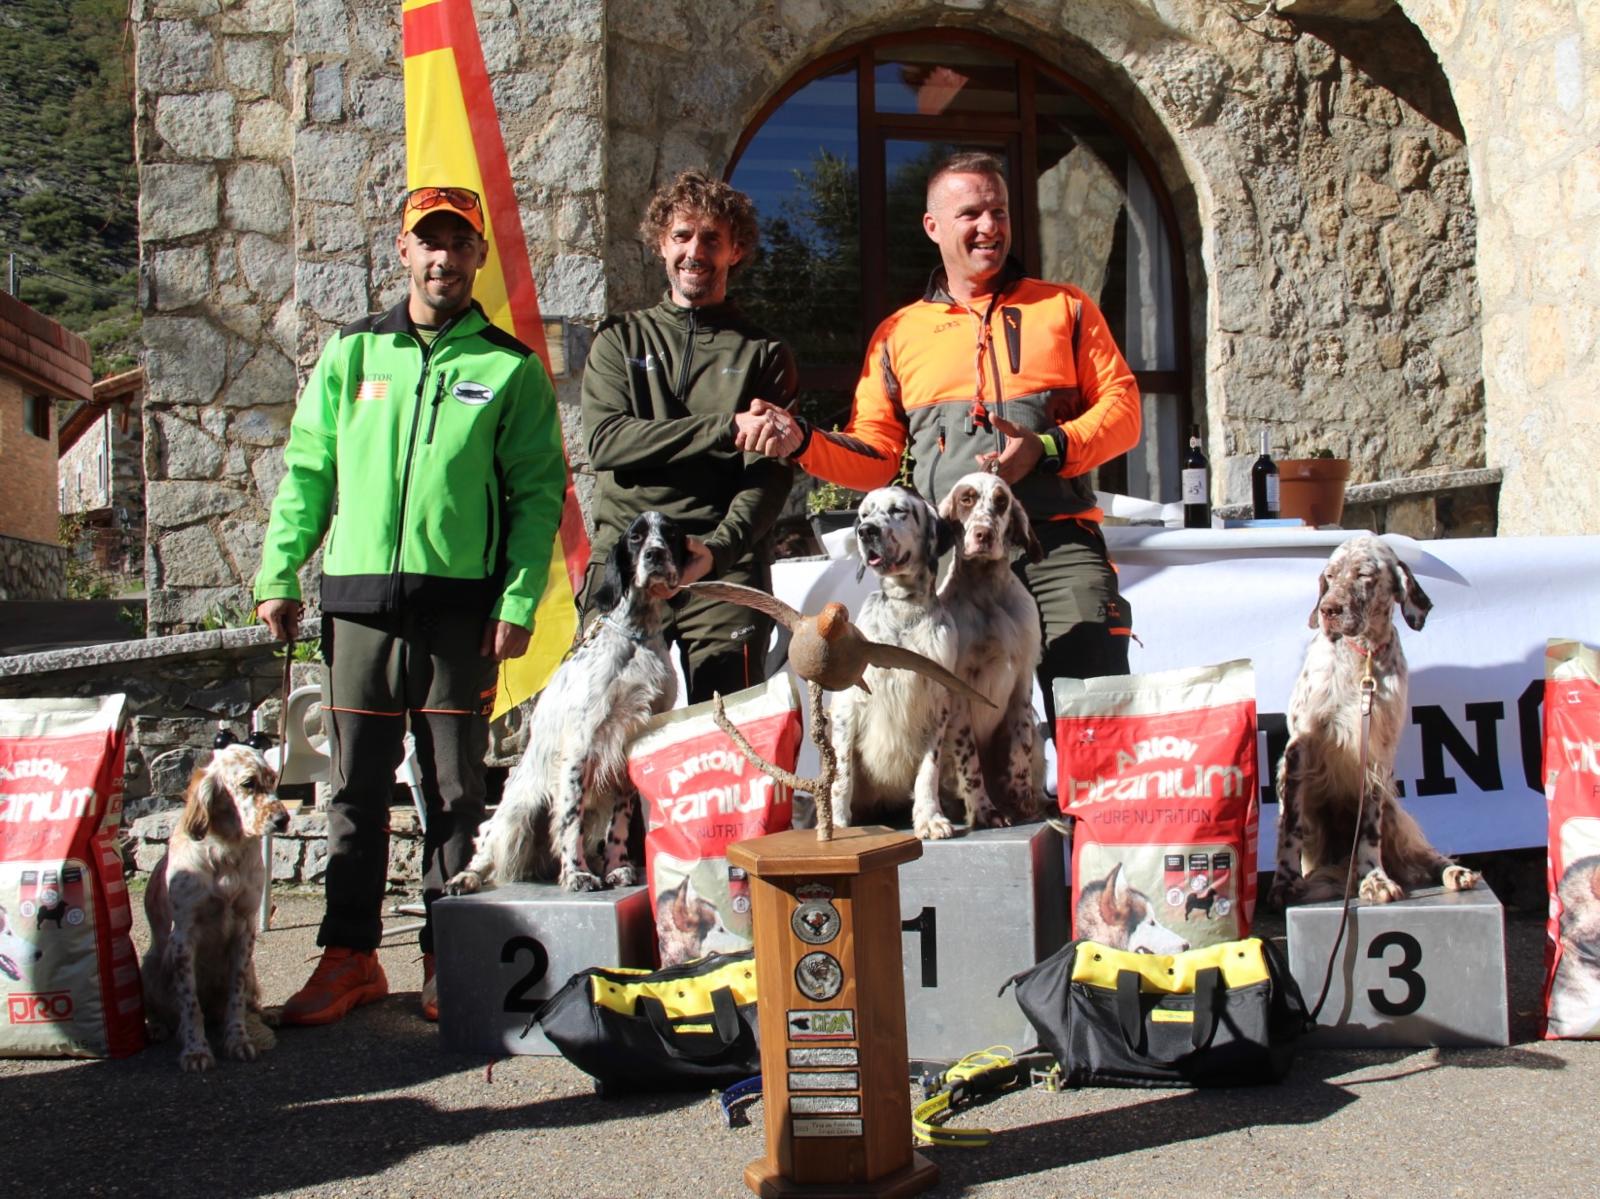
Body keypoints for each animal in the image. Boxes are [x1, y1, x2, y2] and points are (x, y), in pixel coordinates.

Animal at [142, 742, 289, 1069]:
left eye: (273, 779)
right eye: (248, 783)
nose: (283, 819)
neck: (227, 852)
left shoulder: (245, 929)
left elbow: (235, 997)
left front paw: (238, 1040)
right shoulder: (183, 937)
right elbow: (190, 1003)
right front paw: (196, 1050)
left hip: (253, 969)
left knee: (249, 1001)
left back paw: (269, 1014)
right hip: (150, 964)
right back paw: (156, 1027)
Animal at [444, 509, 688, 896]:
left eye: (671, 534)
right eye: (636, 537)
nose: (655, 555)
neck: (636, 636)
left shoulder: (629, 742)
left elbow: (619, 823)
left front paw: (618, 867)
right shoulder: (581, 746)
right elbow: (569, 822)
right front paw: (577, 874)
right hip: (518, 810)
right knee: (487, 844)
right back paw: (465, 877)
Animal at [832, 480, 992, 838]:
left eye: (898, 510)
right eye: (864, 514)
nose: (866, 531)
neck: (904, 610)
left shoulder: (937, 705)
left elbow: (927, 771)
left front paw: (930, 818)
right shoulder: (850, 704)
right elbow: (841, 777)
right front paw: (837, 826)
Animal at [934, 470, 1049, 826]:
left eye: (1001, 501)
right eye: (966, 499)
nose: (983, 534)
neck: (986, 595)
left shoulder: (1022, 678)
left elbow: (1020, 744)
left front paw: (1023, 801)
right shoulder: (958, 689)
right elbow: (968, 760)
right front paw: (984, 811)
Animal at [1267, 537, 1478, 902]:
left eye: (1364, 574)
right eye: (1330, 576)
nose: (1328, 610)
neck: (1361, 658)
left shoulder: (1377, 756)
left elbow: (1369, 831)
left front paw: (1375, 879)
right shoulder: (1299, 752)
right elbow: (1290, 827)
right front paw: (1285, 882)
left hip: (1395, 812)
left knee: (1425, 853)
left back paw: (1456, 872)